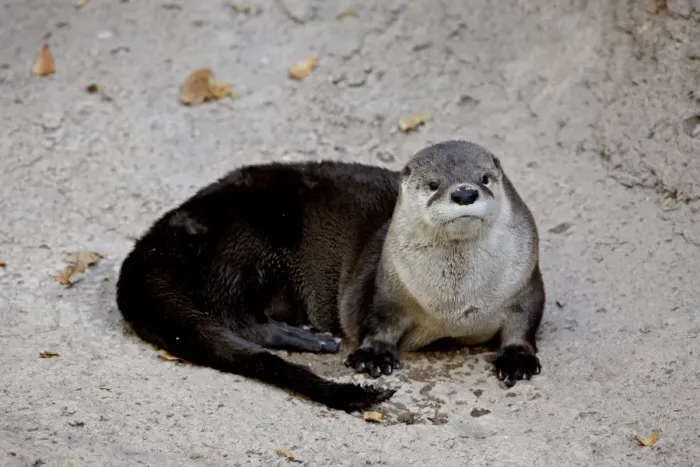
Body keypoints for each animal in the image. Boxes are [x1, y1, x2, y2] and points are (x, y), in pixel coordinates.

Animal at [116, 140, 545, 413]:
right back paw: (310, 338)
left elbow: (525, 321)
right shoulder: (386, 288)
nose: (464, 192)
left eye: (486, 177)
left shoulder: (525, 282)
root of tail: (180, 218)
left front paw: (517, 358)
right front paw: (374, 355)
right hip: (250, 240)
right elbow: (378, 321)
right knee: (232, 313)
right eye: (433, 185)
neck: (454, 305)